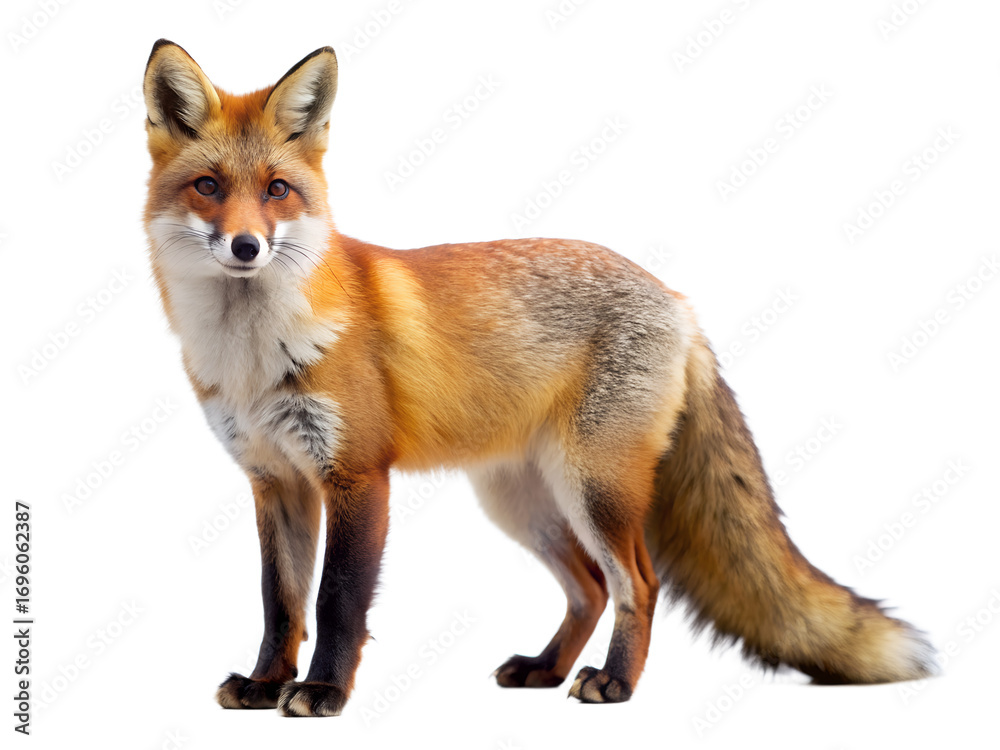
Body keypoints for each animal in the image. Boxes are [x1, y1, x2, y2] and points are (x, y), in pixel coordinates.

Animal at [142, 39, 936, 716]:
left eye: (278, 190)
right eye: (208, 186)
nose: (247, 246)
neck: (252, 357)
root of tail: (677, 300)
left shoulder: (357, 475)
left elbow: (338, 601)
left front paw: (323, 692)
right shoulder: (275, 480)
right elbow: (280, 602)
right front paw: (265, 684)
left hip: (595, 487)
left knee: (637, 583)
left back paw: (614, 683)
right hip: (524, 501)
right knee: (589, 588)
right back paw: (547, 669)